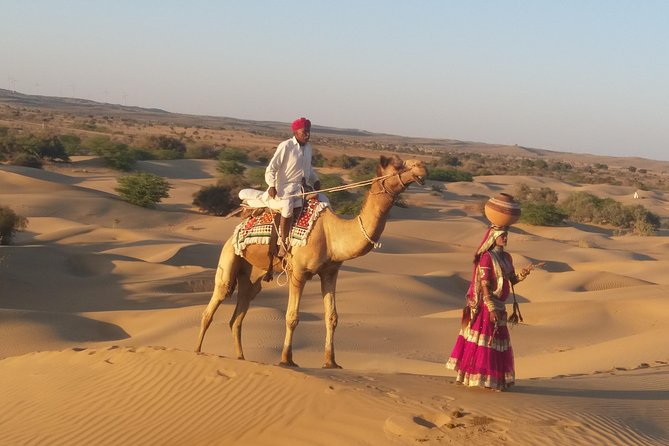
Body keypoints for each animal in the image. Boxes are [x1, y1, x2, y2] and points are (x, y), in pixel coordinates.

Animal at [195, 154, 428, 368]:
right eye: (397, 164)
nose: (422, 166)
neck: (332, 235)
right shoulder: (298, 272)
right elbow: (292, 317)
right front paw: (286, 360)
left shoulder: (330, 272)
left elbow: (332, 317)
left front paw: (331, 362)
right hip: (228, 259)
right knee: (213, 305)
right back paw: (197, 351)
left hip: (252, 276)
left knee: (238, 314)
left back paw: (241, 358)